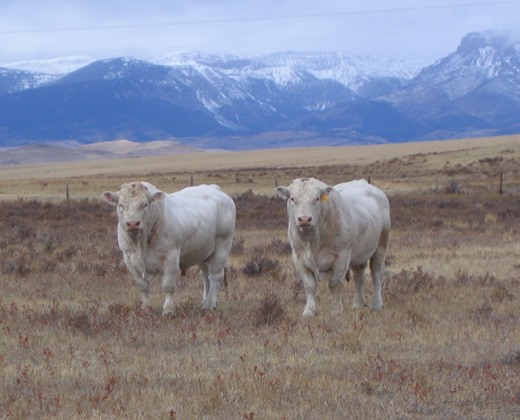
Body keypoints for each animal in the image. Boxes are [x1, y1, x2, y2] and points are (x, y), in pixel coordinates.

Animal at [102, 180, 236, 316]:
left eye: (144, 204)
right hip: (203, 252)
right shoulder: (129, 258)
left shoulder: (171, 256)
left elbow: (168, 285)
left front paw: (168, 310)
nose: (133, 223)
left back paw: (209, 304)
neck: (141, 242)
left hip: (223, 245)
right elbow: (142, 286)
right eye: (121, 204)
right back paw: (205, 301)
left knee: (215, 276)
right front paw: (146, 309)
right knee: (205, 275)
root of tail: (215, 188)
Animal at [276, 176, 390, 316]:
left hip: (381, 244)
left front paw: (336, 310)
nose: (304, 219)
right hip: (358, 254)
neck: (312, 241)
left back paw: (377, 304)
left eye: (317, 198)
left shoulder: (342, 256)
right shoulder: (298, 257)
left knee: (377, 272)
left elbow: (334, 283)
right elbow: (309, 285)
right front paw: (309, 310)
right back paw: (358, 304)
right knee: (359, 277)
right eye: (292, 198)